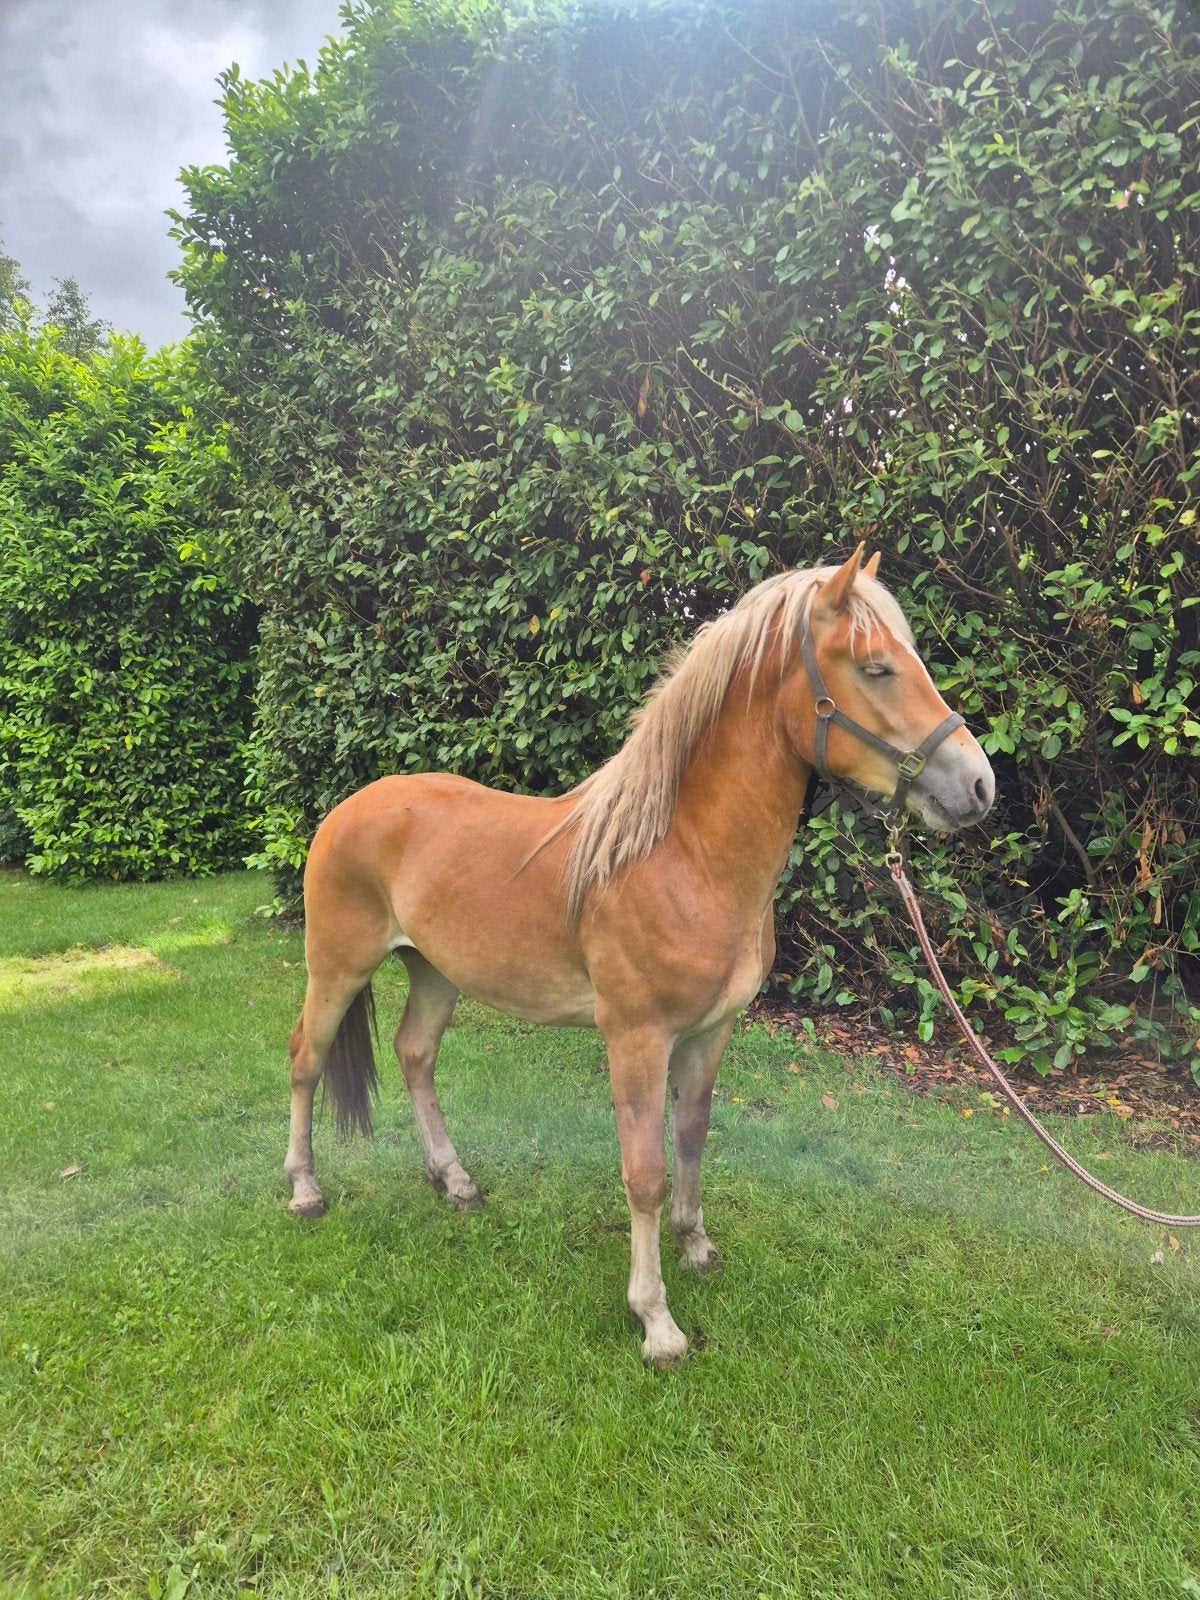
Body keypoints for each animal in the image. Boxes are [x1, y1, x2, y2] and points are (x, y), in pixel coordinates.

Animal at [283, 544, 995, 1365]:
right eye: (876, 667)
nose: (980, 784)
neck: (680, 857)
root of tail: (348, 808)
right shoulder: (636, 1038)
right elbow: (645, 1172)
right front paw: (655, 1319)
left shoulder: (710, 1033)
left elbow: (691, 1140)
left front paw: (696, 1246)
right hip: (337, 967)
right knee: (305, 1058)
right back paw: (304, 1189)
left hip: (434, 973)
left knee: (415, 1055)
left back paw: (454, 1182)